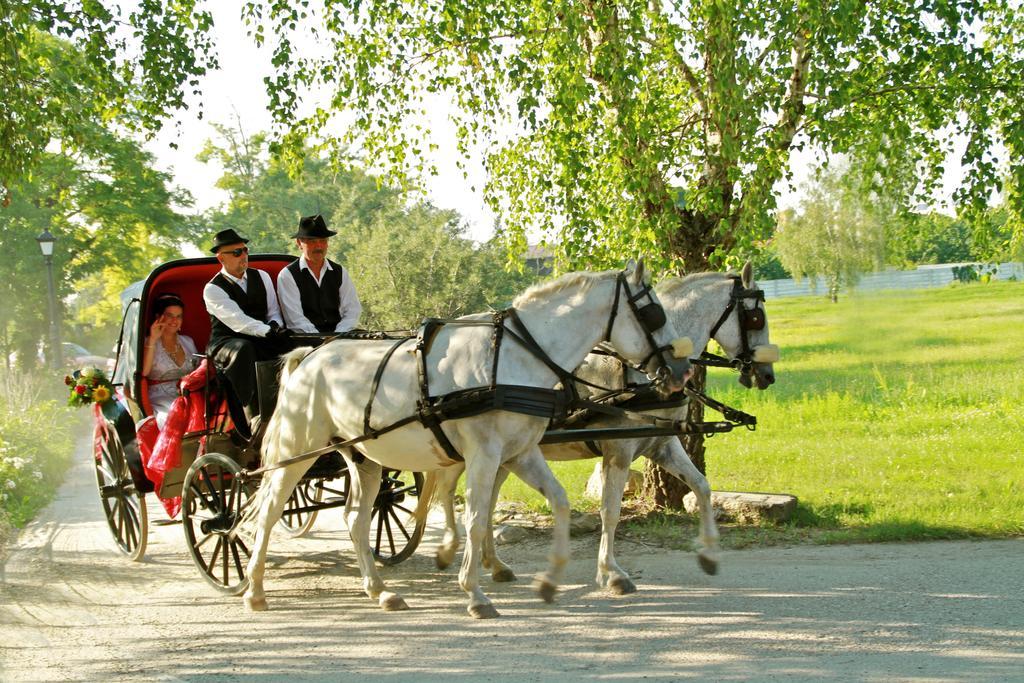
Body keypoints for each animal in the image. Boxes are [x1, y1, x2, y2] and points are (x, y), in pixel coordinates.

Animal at [238, 262, 688, 618]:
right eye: (652, 313)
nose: (681, 371)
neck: (513, 359)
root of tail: (309, 357)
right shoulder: (484, 456)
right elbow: (474, 518)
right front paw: (474, 593)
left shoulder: (521, 453)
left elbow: (558, 502)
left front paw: (548, 580)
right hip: (296, 451)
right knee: (270, 511)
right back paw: (254, 589)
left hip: (363, 458)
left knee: (355, 519)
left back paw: (380, 591)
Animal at [421, 262, 774, 593]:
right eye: (756, 318)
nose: (768, 375)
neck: (639, 375)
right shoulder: (618, 450)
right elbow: (611, 511)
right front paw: (612, 573)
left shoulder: (662, 444)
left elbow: (701, 487)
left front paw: (709, 554)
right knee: (449, 492)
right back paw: (450, 549)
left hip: (505, 454)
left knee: (485, 500)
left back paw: (494, 564)